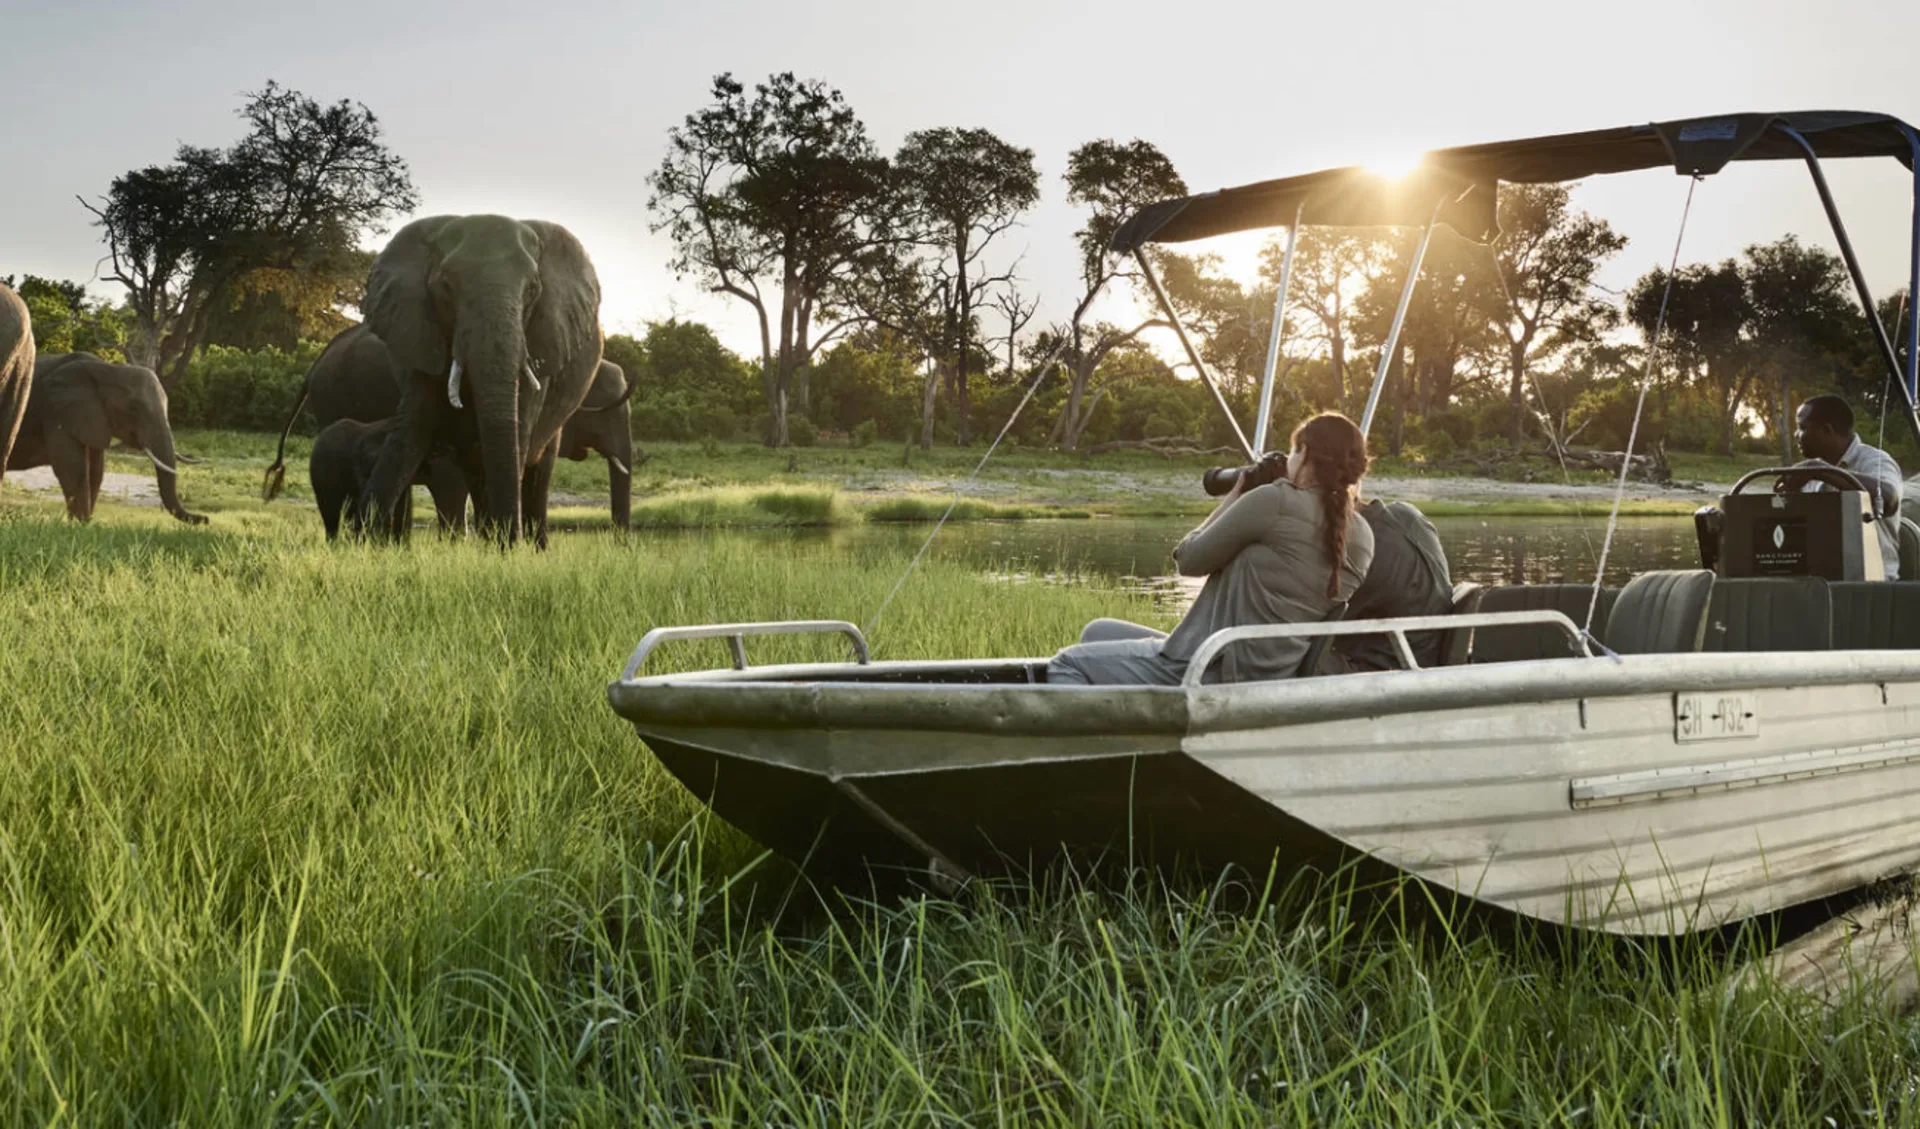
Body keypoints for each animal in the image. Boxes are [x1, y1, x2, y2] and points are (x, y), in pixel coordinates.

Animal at [6, 353, 208, 526]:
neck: (107, 369)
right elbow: (72, 468)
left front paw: (84, 524)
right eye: (133, 408)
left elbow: (96, 471)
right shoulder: (57, 412)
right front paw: (80, 524)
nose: (205, 519)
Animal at [360, 216, 599, 545]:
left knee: (536, 470)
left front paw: (507, 547)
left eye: (533, 289)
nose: (510, 544)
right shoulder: (422, 333)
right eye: (446, 286)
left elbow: (517, 434)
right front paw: (356, 540)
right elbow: (411, 429)